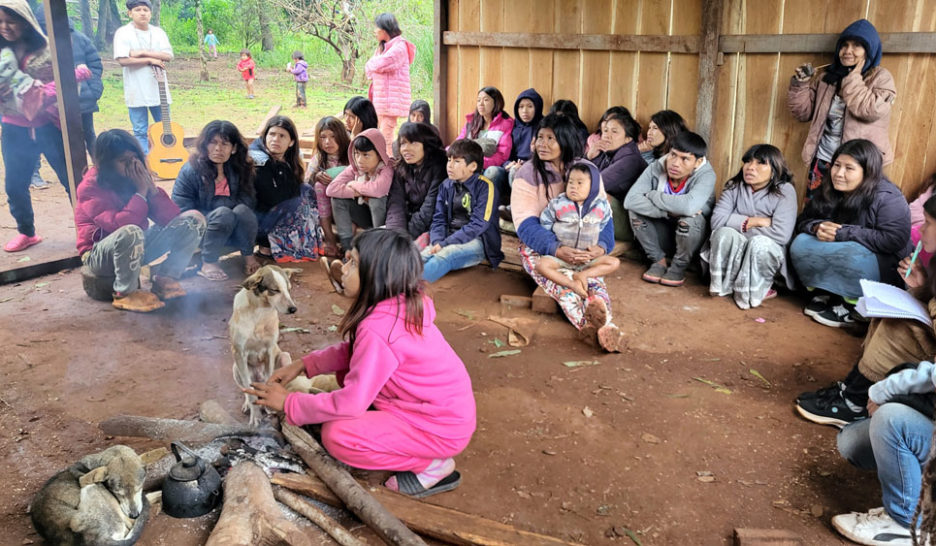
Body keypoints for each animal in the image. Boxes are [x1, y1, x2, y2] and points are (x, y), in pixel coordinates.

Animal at [230, 264, 300, 424]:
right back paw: (247, 405)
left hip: (284, 356)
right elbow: (250, 394)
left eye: (289, 289)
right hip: (236, 368)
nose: (293, 309)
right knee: (246, 390)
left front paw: (269, 407)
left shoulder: (269, 351)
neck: (260, 312)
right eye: (275, 290)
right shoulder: (240, 353)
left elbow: (269, 385)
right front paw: (255, 416)